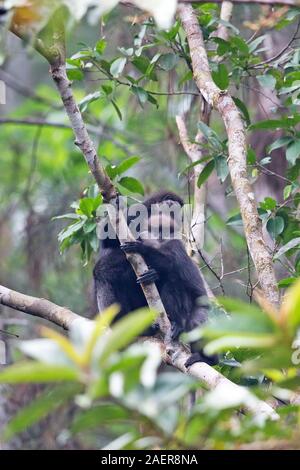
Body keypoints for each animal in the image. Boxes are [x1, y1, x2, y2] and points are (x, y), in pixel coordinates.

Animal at [92, 190, 217, 368]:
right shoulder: (139, 214)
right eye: (170, 205)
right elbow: (107, 240)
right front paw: (118, 203)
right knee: (103, 270)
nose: (175, 212)